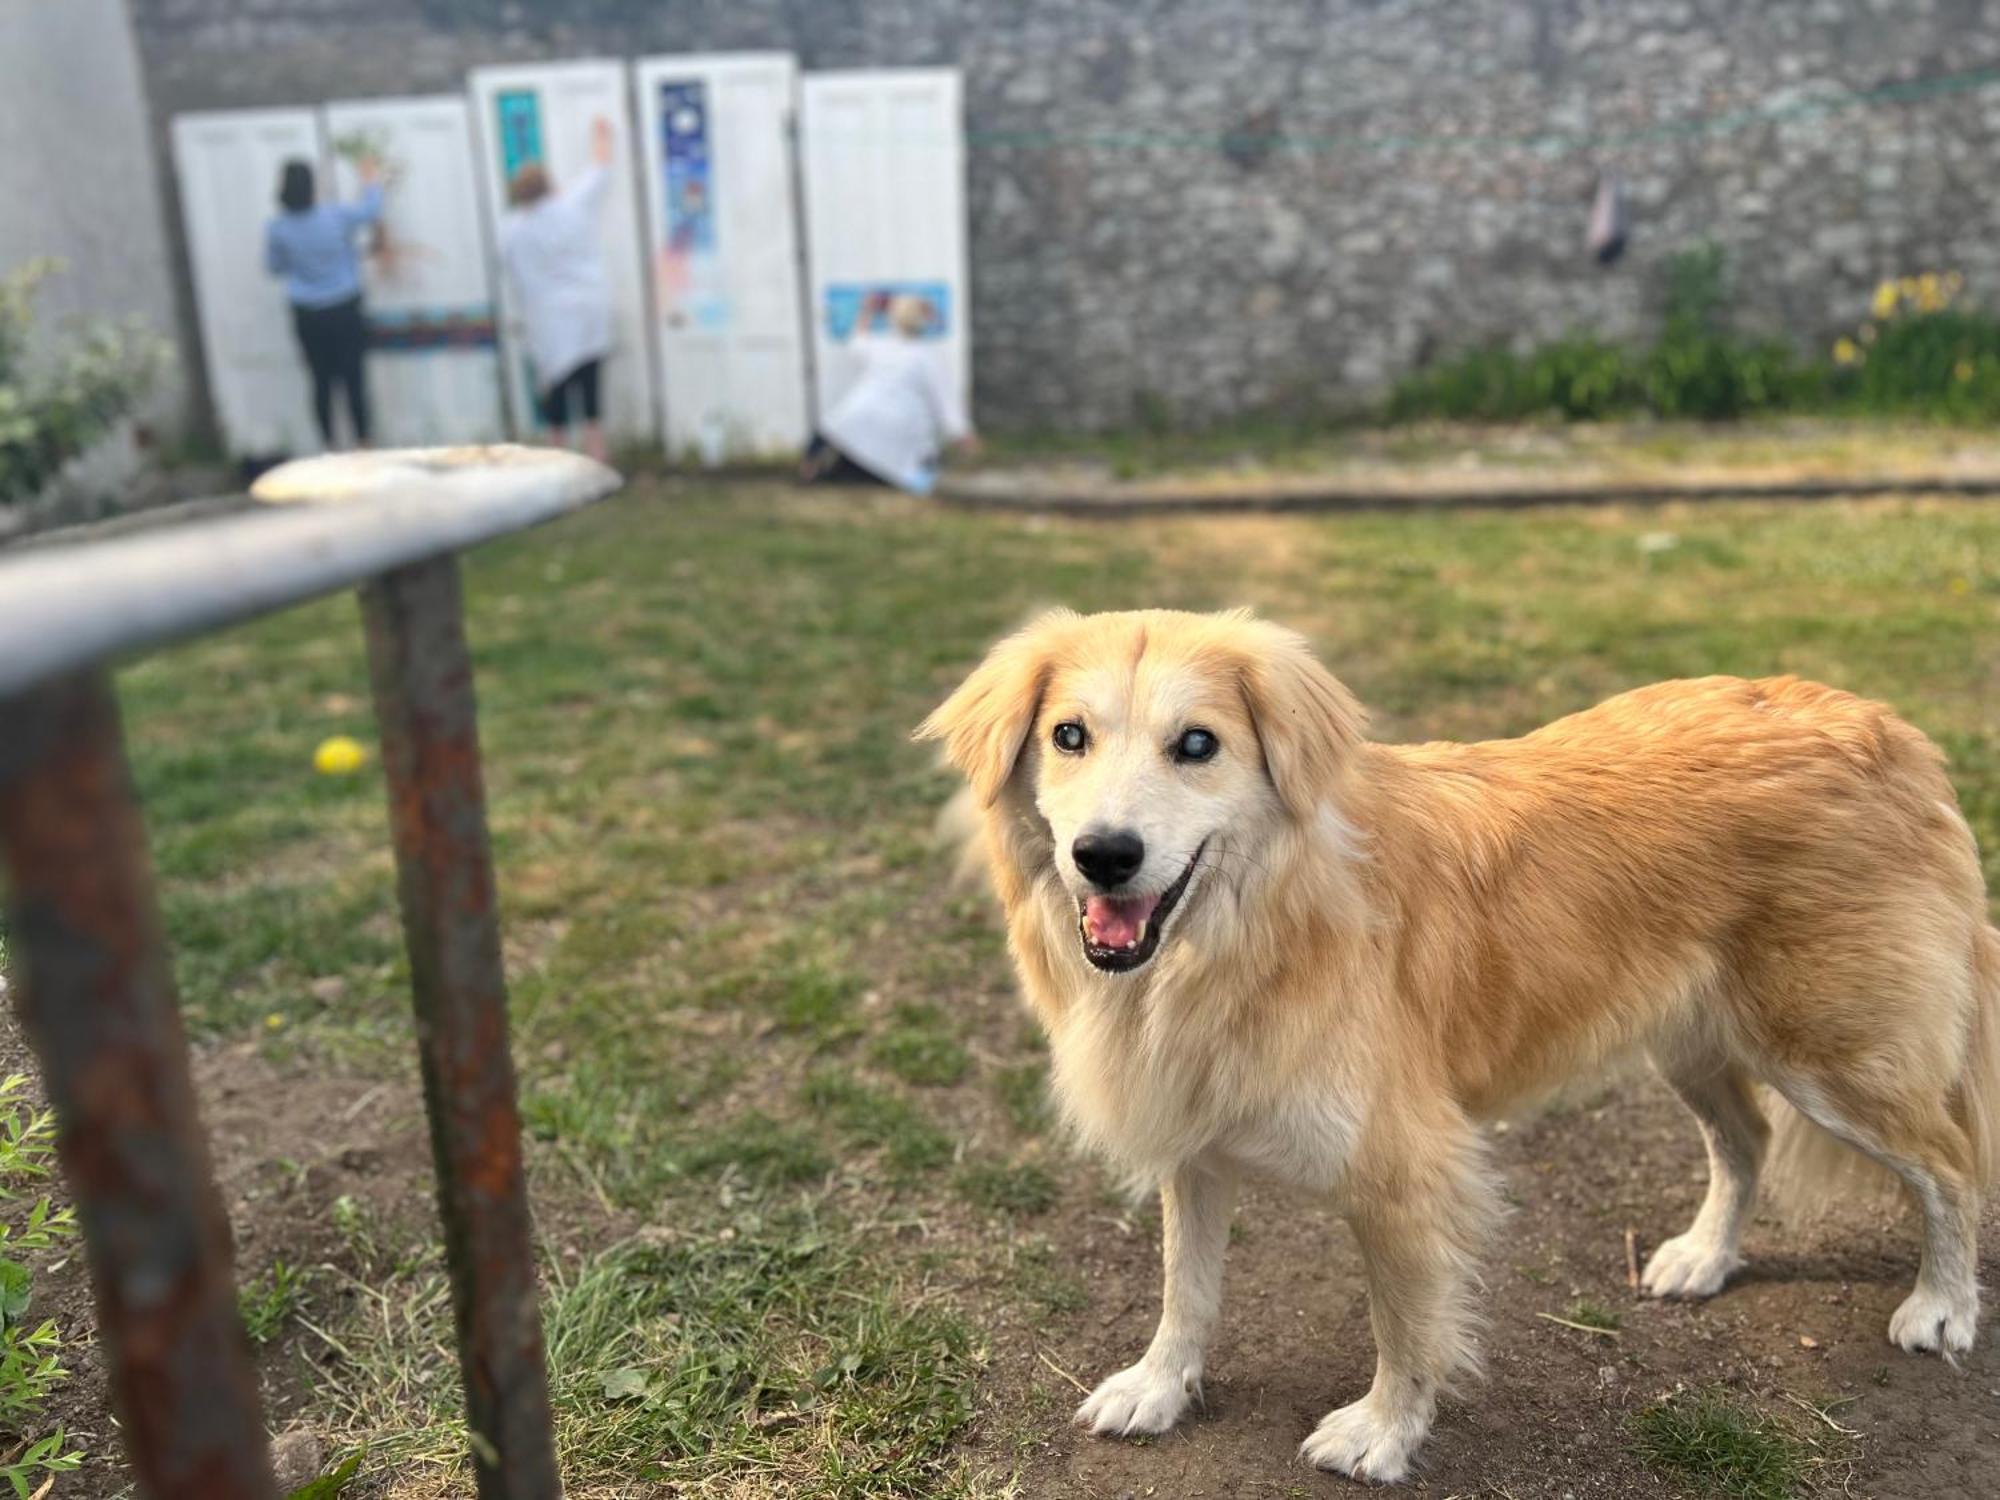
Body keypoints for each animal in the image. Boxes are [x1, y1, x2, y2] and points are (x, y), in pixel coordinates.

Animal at [920, 608, 2000, 1480]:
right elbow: (1185, 1288)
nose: (1104, 855)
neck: (1258, 927)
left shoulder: (1406, 1169)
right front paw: (1159, 1385)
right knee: (1747, 1141)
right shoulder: (1195, 1136)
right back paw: (1705, 1256)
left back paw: (1942, 1307)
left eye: (1197, 743)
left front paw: (1382, 1435)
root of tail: (1884, 727)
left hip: (1833, 1057)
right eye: (1068, 735)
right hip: (1692, 1040)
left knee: (1948, 1165)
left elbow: (1403, 1325)